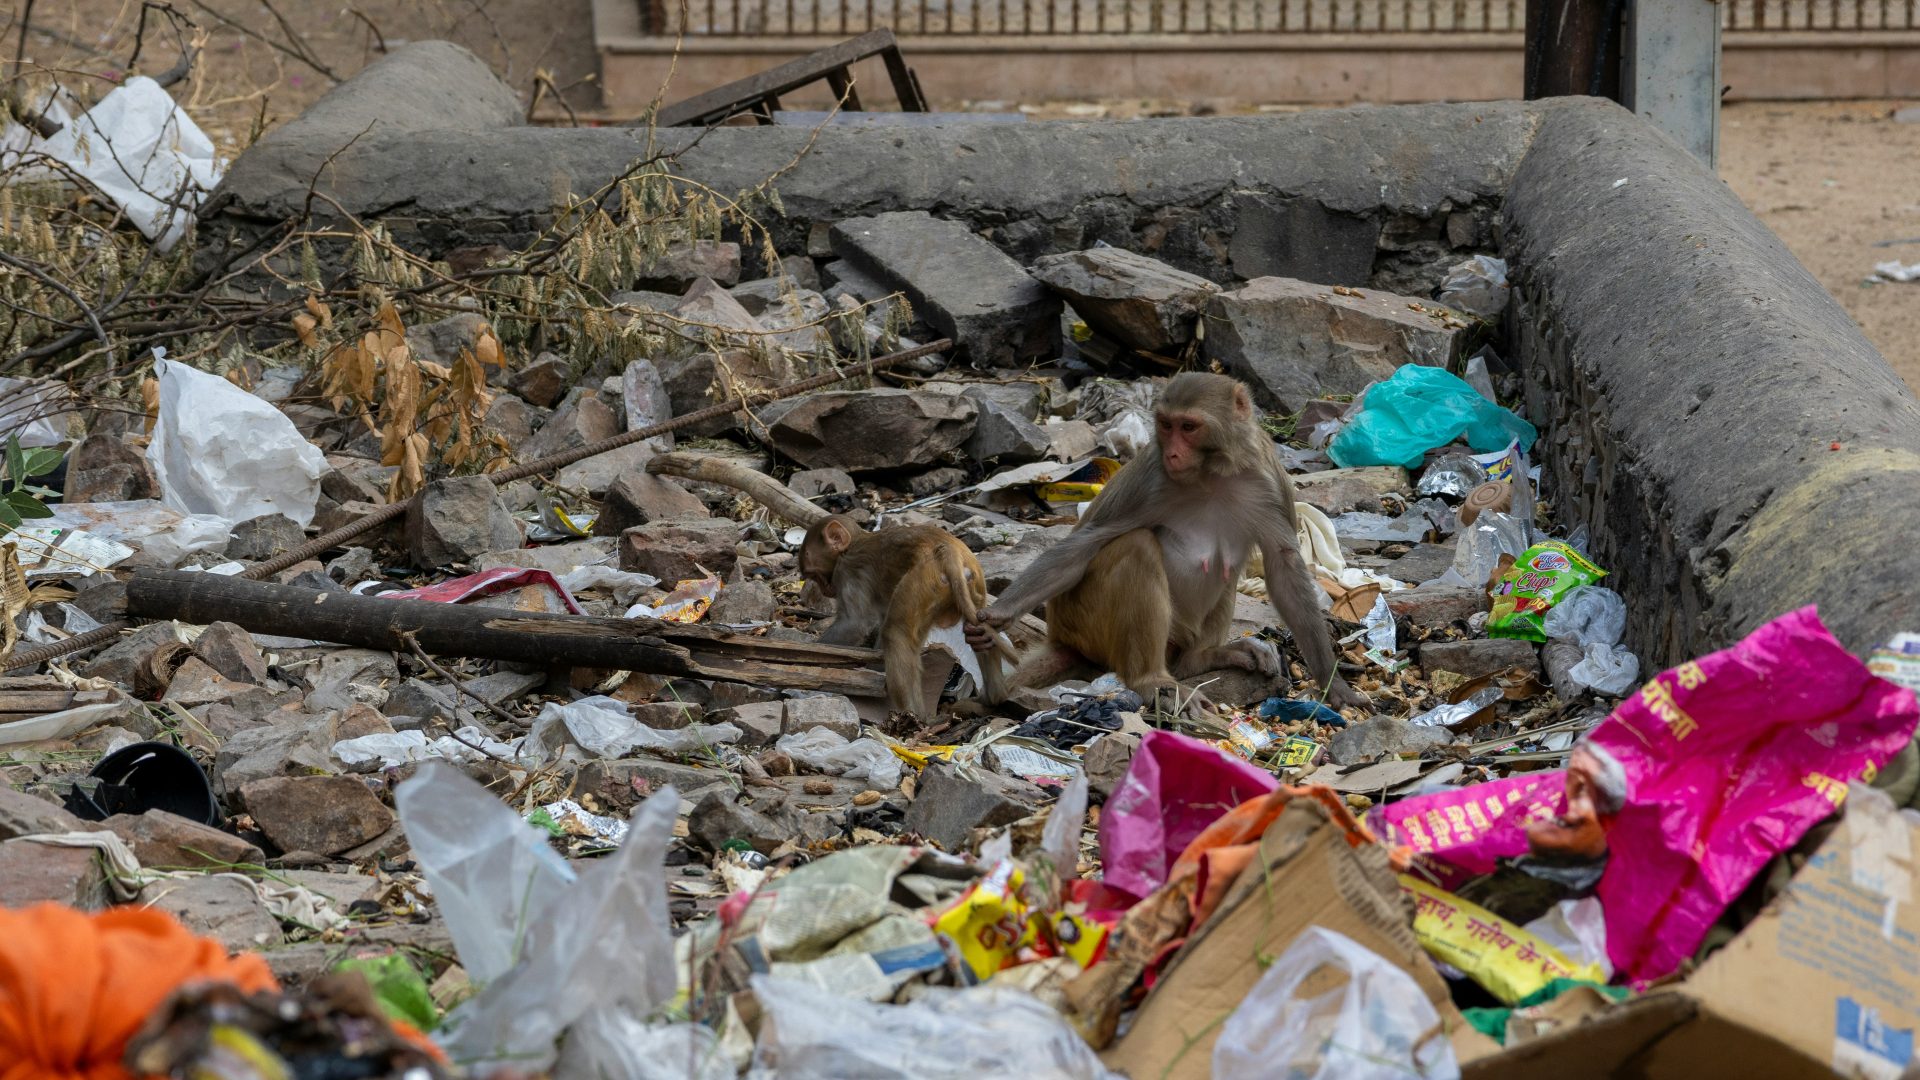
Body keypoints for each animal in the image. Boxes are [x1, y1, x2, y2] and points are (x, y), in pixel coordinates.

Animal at [798, 511, 1013, 714]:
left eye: (814, 575)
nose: (825, 590)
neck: (853, 543)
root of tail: (948, 550)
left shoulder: (847, 571)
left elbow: (854, 624)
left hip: (923, 582)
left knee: (896, 633)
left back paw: (913, 716)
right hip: (974, 584)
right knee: (977, 630)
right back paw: (992, 698)